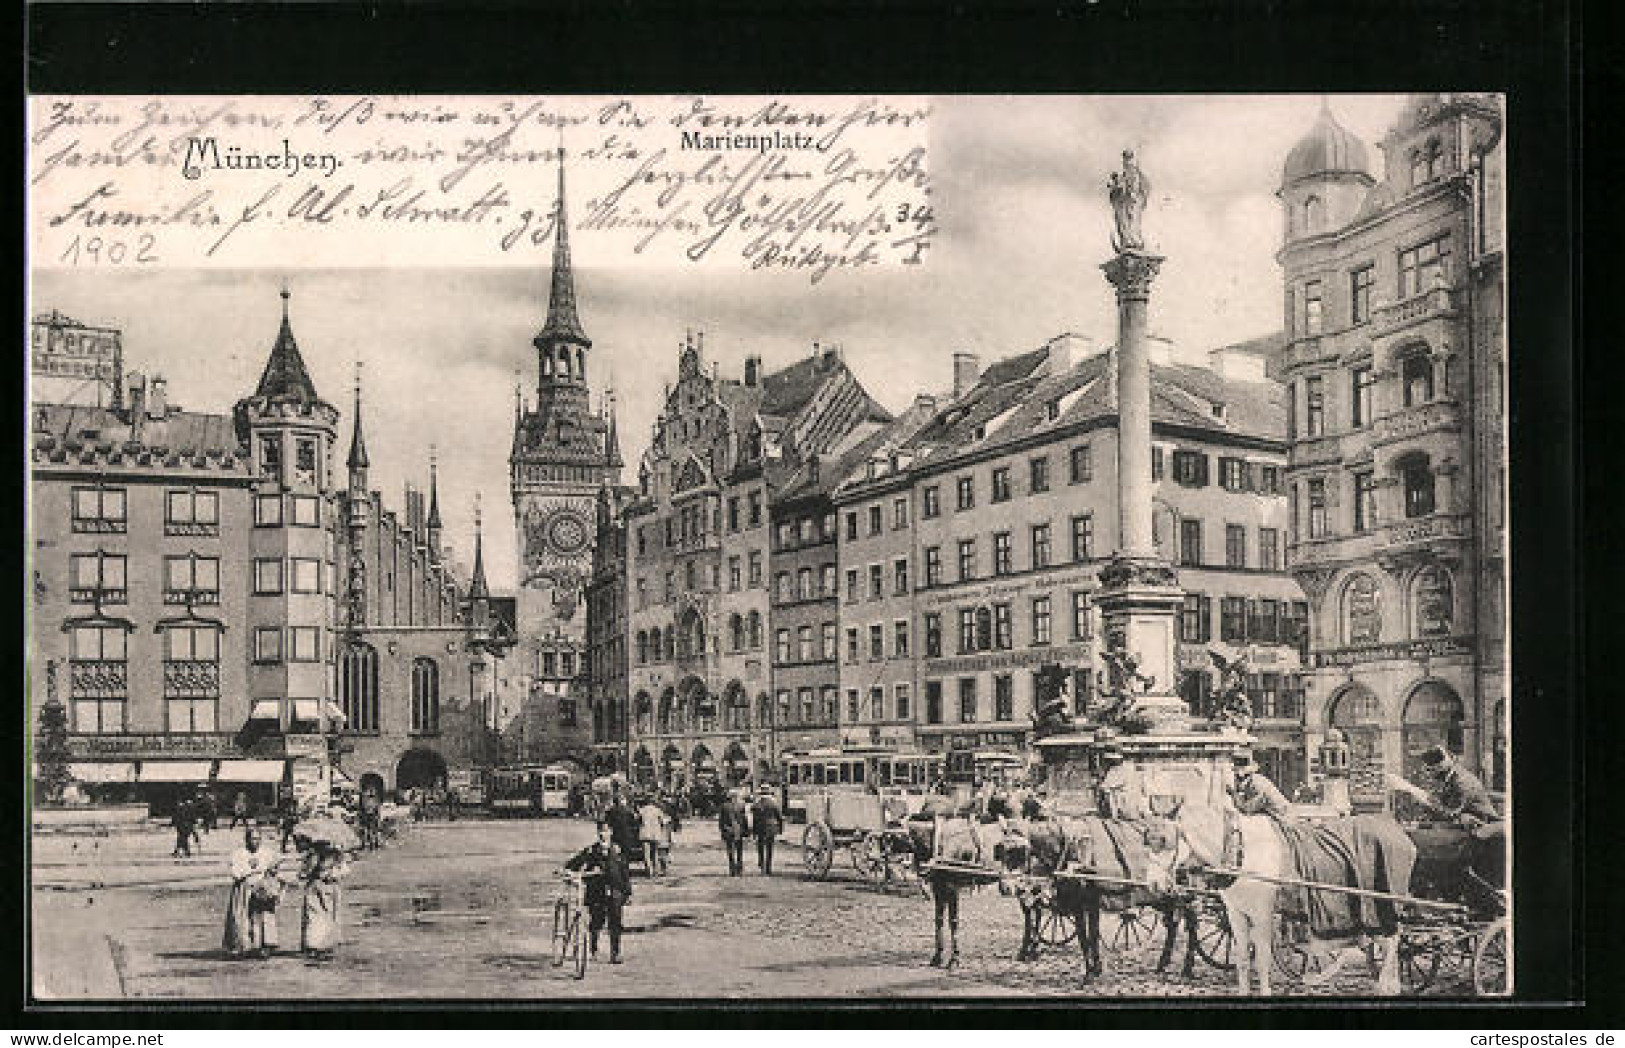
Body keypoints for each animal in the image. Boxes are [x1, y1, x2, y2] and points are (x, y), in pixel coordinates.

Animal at [988, 812, 1209, 974]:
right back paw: (1163, 963)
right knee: (1173, 925)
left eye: (1019, 852)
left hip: (1185, 894)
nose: (1005, 887)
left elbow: (1092, 935)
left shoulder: (1092, 901)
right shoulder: (1078, 903)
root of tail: (1185, 835)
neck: (1073, 849)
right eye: (999, 850)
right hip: (1164, 896)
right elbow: (1083, 936)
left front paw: (1092, 971)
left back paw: (1188, 967)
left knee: (1191, 923)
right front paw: (1093, 970)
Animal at [1144, 805, 1410, 994]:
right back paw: (1390, 983)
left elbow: (1262, 961)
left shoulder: (1262, 914)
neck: (1240, 848)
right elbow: (1243, 960)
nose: (1153, 884)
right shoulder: (1236, 913)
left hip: (1385, 902)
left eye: (1166, 840)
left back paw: (1387, 985)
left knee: (1393, 939)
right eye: (1146, 840)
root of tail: (1397, 830)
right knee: (1388, 941)